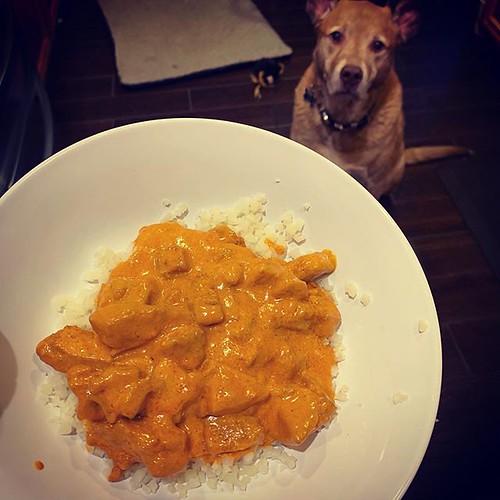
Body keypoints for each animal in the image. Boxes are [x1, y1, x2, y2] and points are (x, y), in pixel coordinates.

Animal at [292, 0, 466, 199]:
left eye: (377, 45)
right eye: (336, 36)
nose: (351, 74)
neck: (340, 121)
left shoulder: (372, 184)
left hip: (393, 171)